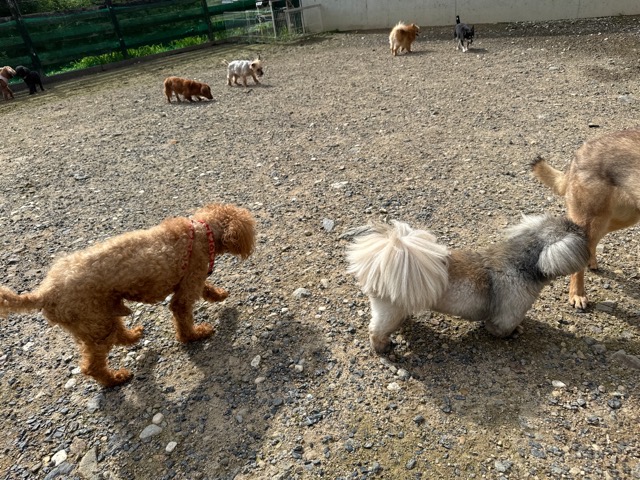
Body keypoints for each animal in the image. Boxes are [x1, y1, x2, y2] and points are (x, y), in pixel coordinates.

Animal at [0, 203, 256, 387]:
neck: (203, 232)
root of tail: (44, 293)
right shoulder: (190, 280)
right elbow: (183, 315)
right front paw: (195, 335)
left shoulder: (191, 278)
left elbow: (206, 289)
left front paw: (219, 295)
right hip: (94, 320)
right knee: (93, 364)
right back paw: (115, 379)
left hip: (101, 313)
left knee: (118, 333)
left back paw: (134, 335)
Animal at [346, 215, 589, 353]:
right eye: (578, 234)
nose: (585, 229)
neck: (521, 264)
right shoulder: (507, 314)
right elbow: (501, 328)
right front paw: (513, 333)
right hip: (388, 311)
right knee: (376, 331)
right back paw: (383, 347)